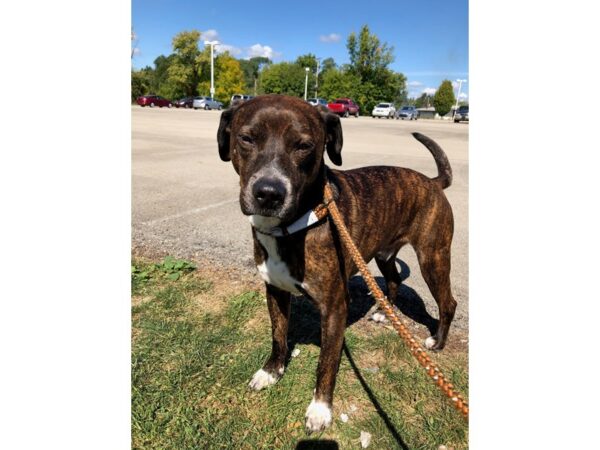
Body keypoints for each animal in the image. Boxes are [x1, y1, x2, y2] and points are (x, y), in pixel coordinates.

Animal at [218, 94, 458, 432]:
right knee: (394, 279)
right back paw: (383, 312)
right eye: (246, 138)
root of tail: (434, 182)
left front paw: (320, 409)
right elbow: (278, 336)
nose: (268, 193)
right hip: (384, 254)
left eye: (304, 145)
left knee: (448, 301)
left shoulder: (334, 308)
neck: (293, 226)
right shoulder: (275, 291)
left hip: (433, 258)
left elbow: (326, 363)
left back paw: (437, 341)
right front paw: (271, 371)